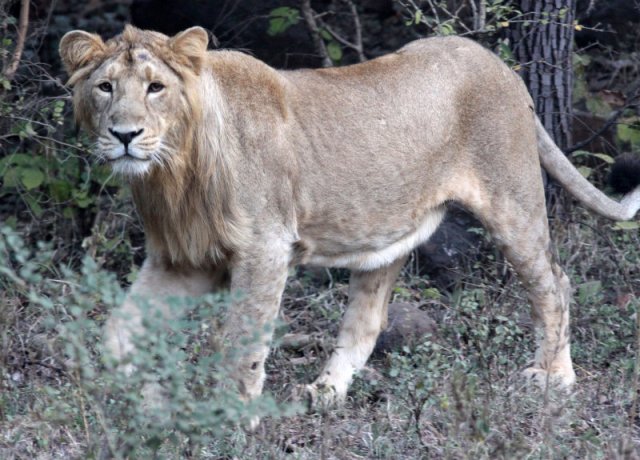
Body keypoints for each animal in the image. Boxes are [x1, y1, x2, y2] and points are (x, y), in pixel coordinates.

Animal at [59, 25, 640, 409]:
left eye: (155, 87)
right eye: (106, 87)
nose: (125, 134)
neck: (172, 171)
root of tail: (502, 67)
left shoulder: (265, 248)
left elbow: (241, 341)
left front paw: (230, 417)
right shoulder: (184, 260)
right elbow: (116, 331)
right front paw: (142, 395)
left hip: (512, 202)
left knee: (555, 282)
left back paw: (555, 377)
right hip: (390, 232)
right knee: (367, 320)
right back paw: (325, 392)